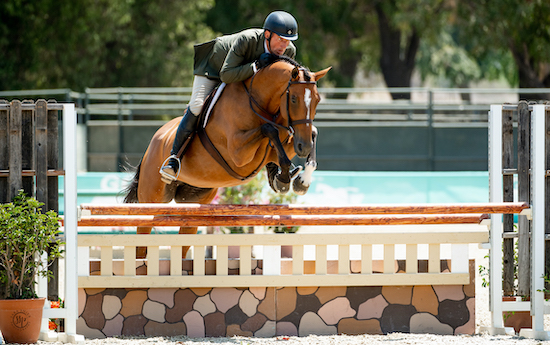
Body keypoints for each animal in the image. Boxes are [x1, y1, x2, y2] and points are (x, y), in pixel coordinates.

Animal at [125, 56, 332, 256]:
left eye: (317, 100)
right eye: (294, 99)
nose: (303, 147)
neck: (260, 102)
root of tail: (154, 141)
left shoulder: (285, 141)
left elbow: (310, 133)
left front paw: (300, 181)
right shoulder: (239, 153)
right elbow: (268, 129)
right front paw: (284, 178)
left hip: (194, 203)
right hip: (152, 200)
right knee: (142, 241)